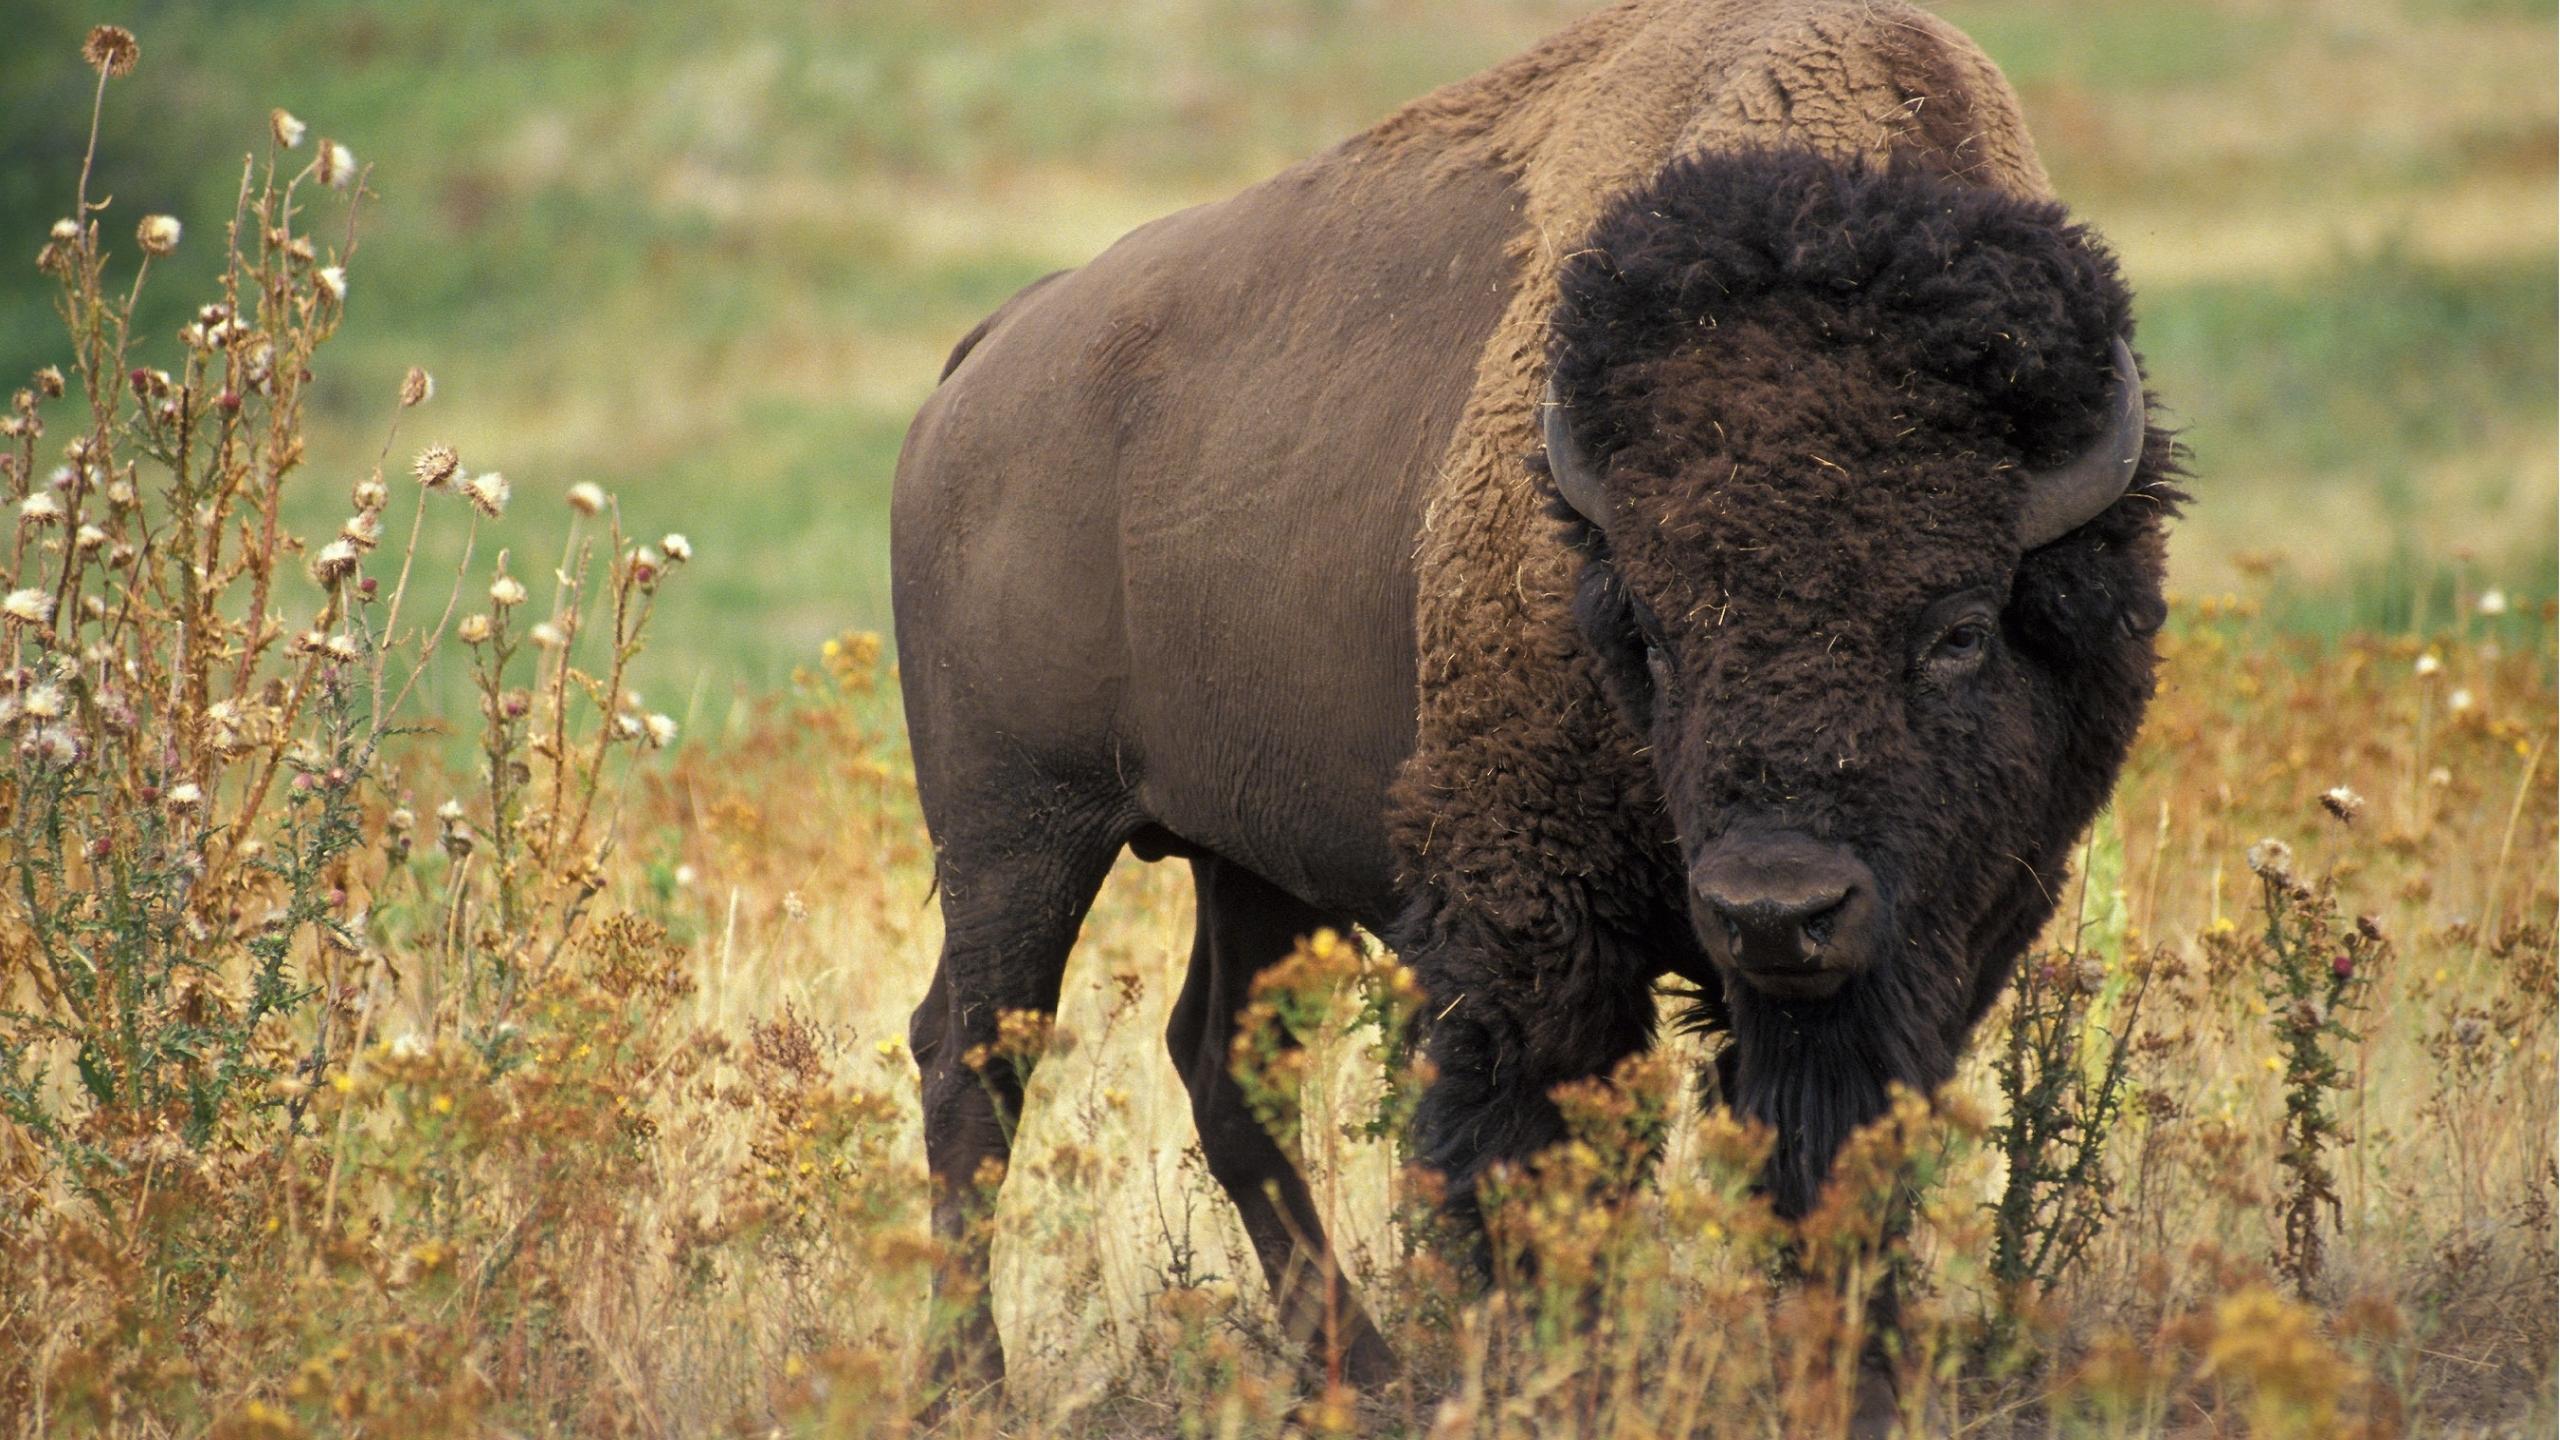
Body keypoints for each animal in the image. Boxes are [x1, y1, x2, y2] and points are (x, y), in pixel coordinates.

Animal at [890, 0, 2170, 1404]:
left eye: (1957, 631)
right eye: (1649, 632)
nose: (1774, 910)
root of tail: (987, 361)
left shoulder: (1940, 941)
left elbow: (1838, 1157)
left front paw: (1853, 1375)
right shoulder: (1532, 919)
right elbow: (1536, 1156)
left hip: (1246, 857)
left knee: (1219, 1063)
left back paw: (1363, 1374)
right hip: (1017, 831)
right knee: (974, 1061)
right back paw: (971, 1383)